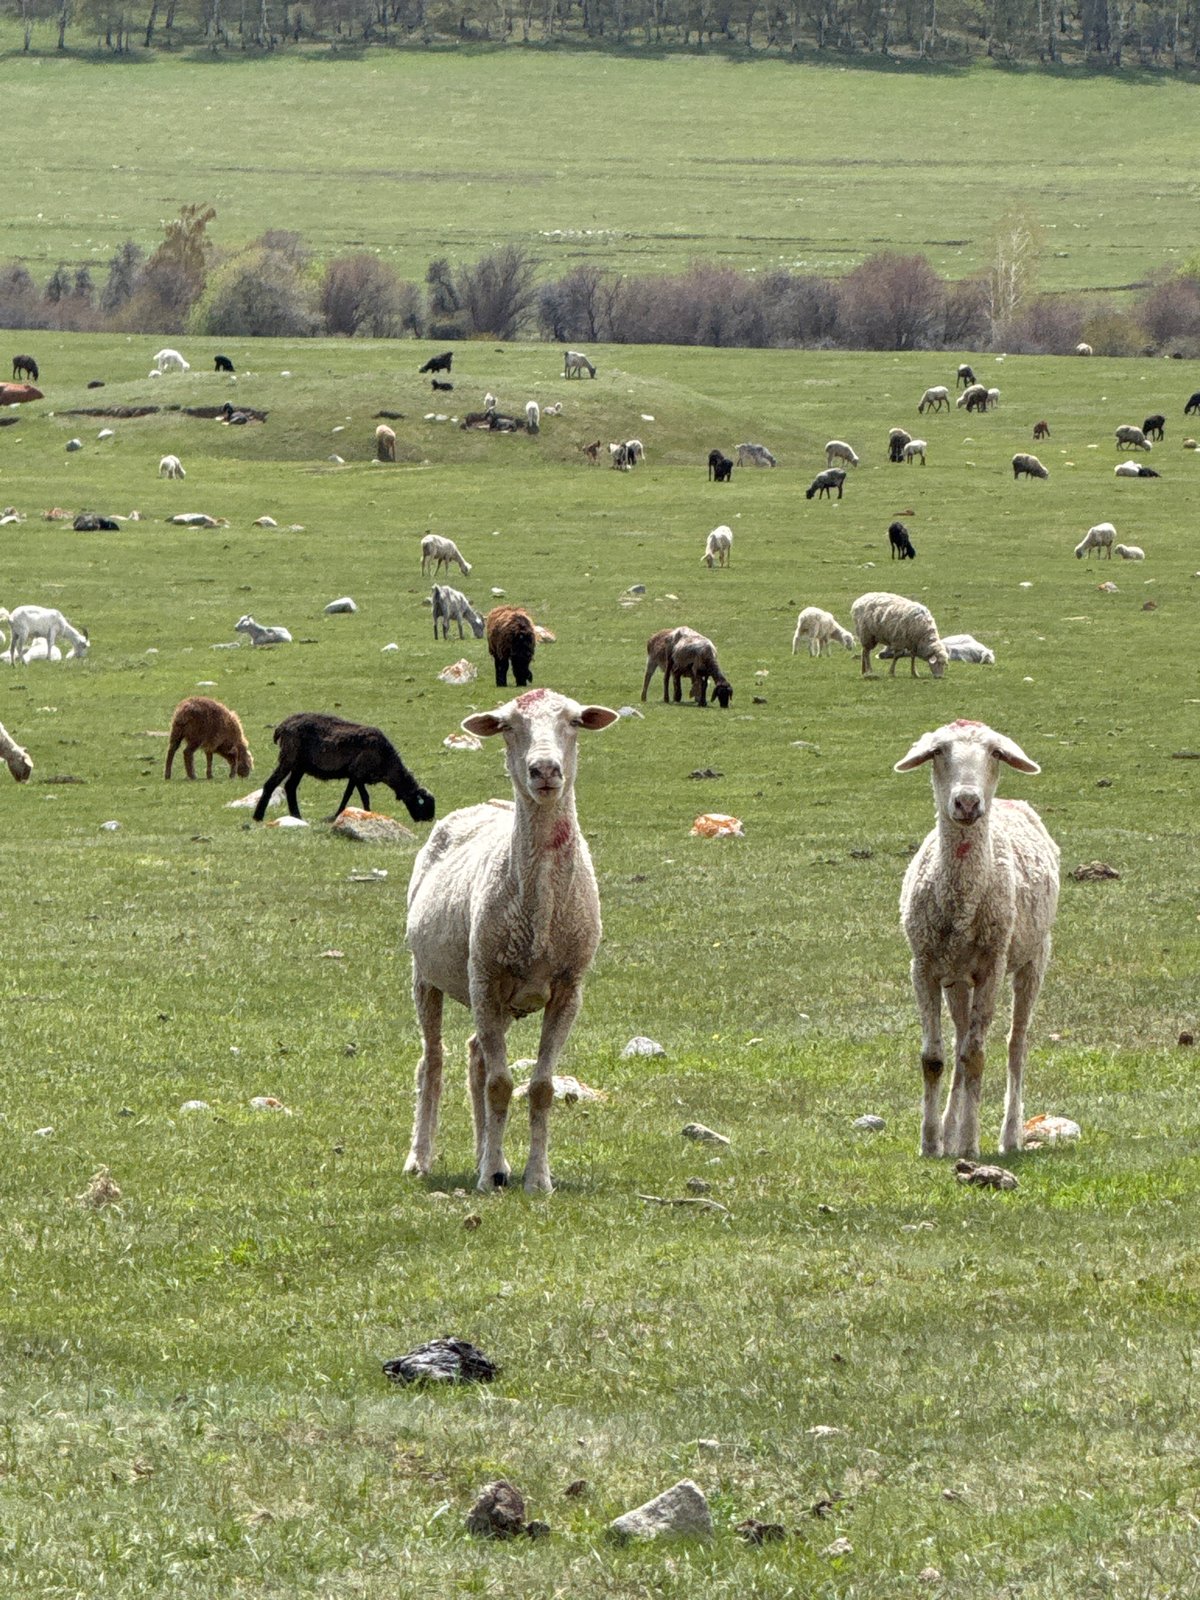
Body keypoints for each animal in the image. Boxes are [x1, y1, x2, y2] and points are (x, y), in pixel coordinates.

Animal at [252, 712, 435, 823]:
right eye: (424, 805)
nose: (428, 821)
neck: (388, 764)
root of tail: (282, 726)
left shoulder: (354, 775)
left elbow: (349, 795)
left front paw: (341, 814)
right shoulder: (358, 772)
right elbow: (363, 796)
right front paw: (365, 813)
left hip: (300, 765)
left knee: (290, 787)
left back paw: (297, 816)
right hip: (289, 758)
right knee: (271, 784)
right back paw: (258, 816)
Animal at [404, 687, 618, 1193]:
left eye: (575, 721)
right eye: (507, 725)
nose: (545, 770)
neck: (539, 915)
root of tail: (483, 806)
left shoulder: (568, 987)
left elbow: (539, 1086)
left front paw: (536, 1178)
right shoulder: (484, 976)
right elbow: (501, 1084)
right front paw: (488, 1179)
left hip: (491, 992)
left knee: (475, 1058)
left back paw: (490, 1156)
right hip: (428, 975)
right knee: (433, 1061)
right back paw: (423, 1158)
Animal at [894, 719, 1060, 1158]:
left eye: (995, 753)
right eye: (937, 751)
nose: (967, 803)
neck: (961, 903)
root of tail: (1015, 803)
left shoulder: (991, 966)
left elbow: (975, 1056)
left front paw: (969, 1144)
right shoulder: (923, 966)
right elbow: (934, 1057)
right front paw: (932, 1141)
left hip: (1034, 957)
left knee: (1016, 1044)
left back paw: (1009, 1135)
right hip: (957, 978)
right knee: (957, 1038)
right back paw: (949, 1131)